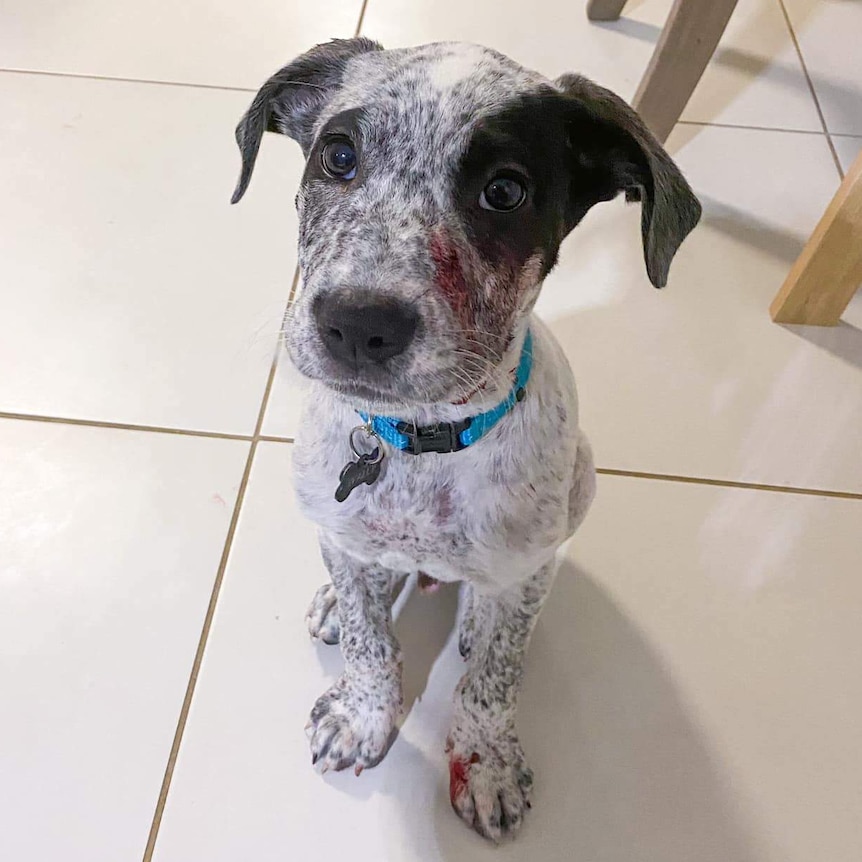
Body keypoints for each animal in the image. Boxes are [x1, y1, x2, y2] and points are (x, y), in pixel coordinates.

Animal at [231, 37, 704, 840]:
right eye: (338, 156)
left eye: (505, 192)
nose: (356, 322)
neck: (424, 442)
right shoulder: (342, 529)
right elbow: (370, 640)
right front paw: (364, 715)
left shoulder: (522, 565)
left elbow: (494, 680)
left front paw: (484, 762)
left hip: (582, 481)